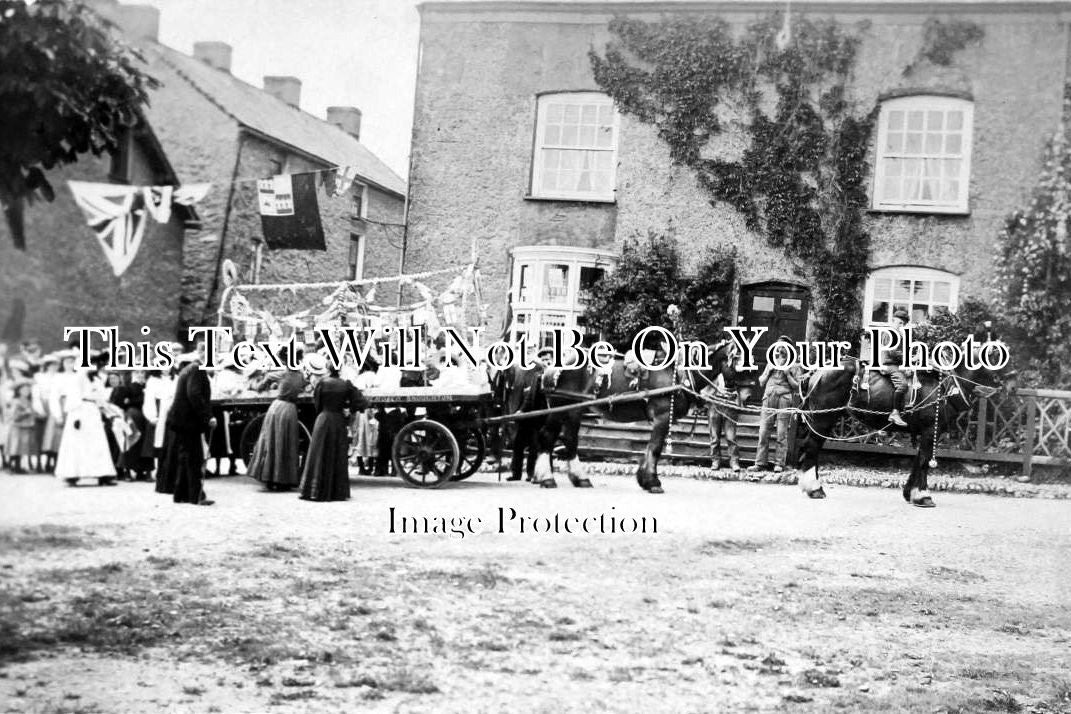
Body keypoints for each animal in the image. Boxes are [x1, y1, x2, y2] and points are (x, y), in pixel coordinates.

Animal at [529, 338, 736, 494]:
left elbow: (649, 448)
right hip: (560, 407)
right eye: (738, 358)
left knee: (570, 438)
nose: (734, 395)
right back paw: (547, 478)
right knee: (548, 436)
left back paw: (581, 479)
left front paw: (644, 479)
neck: (678, 373)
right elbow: (656, 448)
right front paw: (653, 482)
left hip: (574, 409)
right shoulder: (662, 417)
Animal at [796, 342, 1011, 505]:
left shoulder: (926, 433)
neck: (945, 387)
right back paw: (814, 488)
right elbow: (924, 461)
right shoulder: (930, 431)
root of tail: (817, 372)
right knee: (812, 446)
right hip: (823, 418)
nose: (1006, 383)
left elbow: (918, 459)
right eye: (995, 357)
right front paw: (923, 496)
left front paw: (910, 493)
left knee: (815, 447)